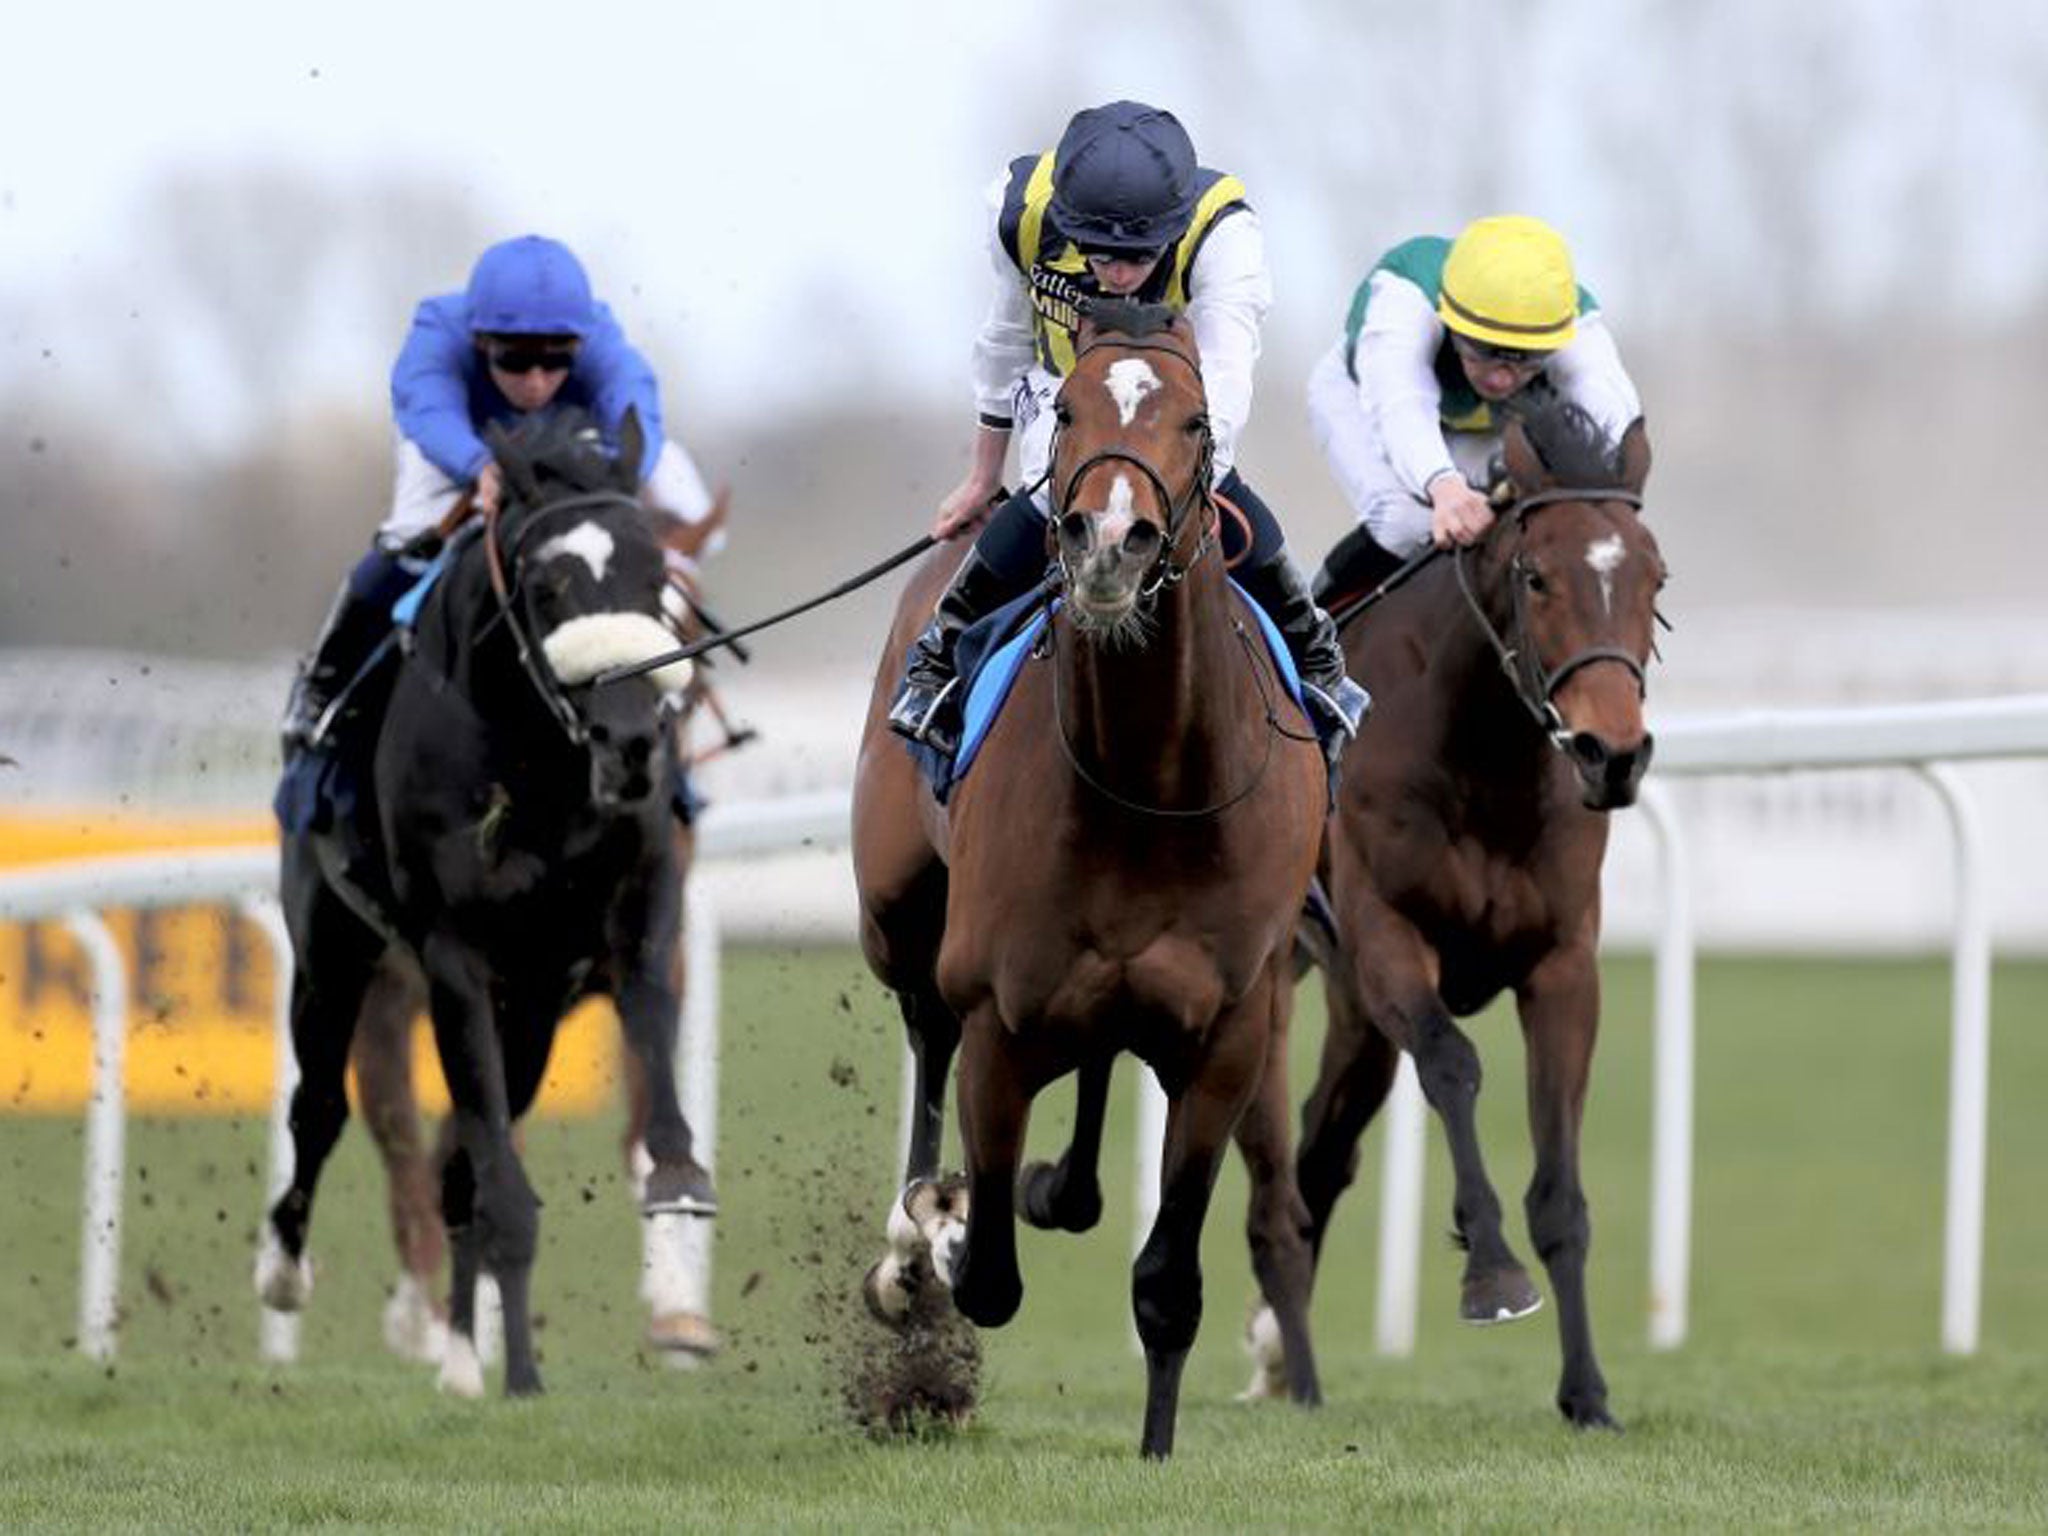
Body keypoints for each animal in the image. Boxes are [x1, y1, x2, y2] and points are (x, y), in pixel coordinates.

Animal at [260, 405, 716, 1392]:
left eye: (656, 578)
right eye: (548, 585)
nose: (631, 741)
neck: (540, 764)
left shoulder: (635, 911)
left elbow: (648, 1048)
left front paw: (677, 1187)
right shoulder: (455, 959)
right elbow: (491, 1179)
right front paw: (520, 1374)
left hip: (532, 1013)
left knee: (456, 1159)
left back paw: (464, 1353)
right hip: (335, 958)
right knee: (323, 1109)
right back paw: (288, 1271)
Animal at [847, 303, 1327, 1466]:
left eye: (1195, 419)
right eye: (1064, 410)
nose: (1109, 543)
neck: (1146, 782)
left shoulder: (1229, 1034)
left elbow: (1167, 1284)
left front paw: (1156, 1448)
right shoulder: (1000, 1015)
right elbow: (985, 1276)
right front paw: (933, 1237)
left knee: (1098, 1067)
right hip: (899, 914)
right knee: (925, 1026)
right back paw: (913, 1237)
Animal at [1245, 397, 1662, 1433]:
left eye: (1654, 576)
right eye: (1537, 574)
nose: (1611, 754)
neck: (1484, 754)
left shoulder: (1562, 965)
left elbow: (1561, 1186)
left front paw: (1587, 1392)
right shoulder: (1390, 937)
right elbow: (1454, 1065)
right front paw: (1492, 1273)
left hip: (1353, 1018)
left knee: (1320, 1157)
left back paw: (1290, 1364)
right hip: (1267, 987)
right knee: (1274, 1177)